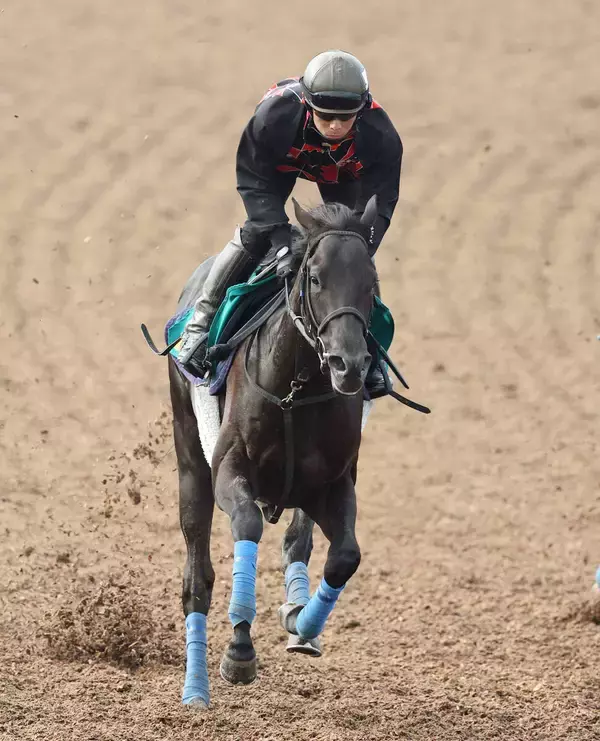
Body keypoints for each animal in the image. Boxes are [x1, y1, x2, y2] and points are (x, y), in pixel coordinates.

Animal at [169, 196, 380, 708]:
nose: (348, 364)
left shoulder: (333, 484)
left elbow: (345, 555)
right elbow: (245, 525)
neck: (294, 387)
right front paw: (239, 651)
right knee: (196, 580)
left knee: (298, 541)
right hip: (190, 461)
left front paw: (302, 622)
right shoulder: (229, 470)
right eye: (315, 278)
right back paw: (195, 689)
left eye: (370, 283)